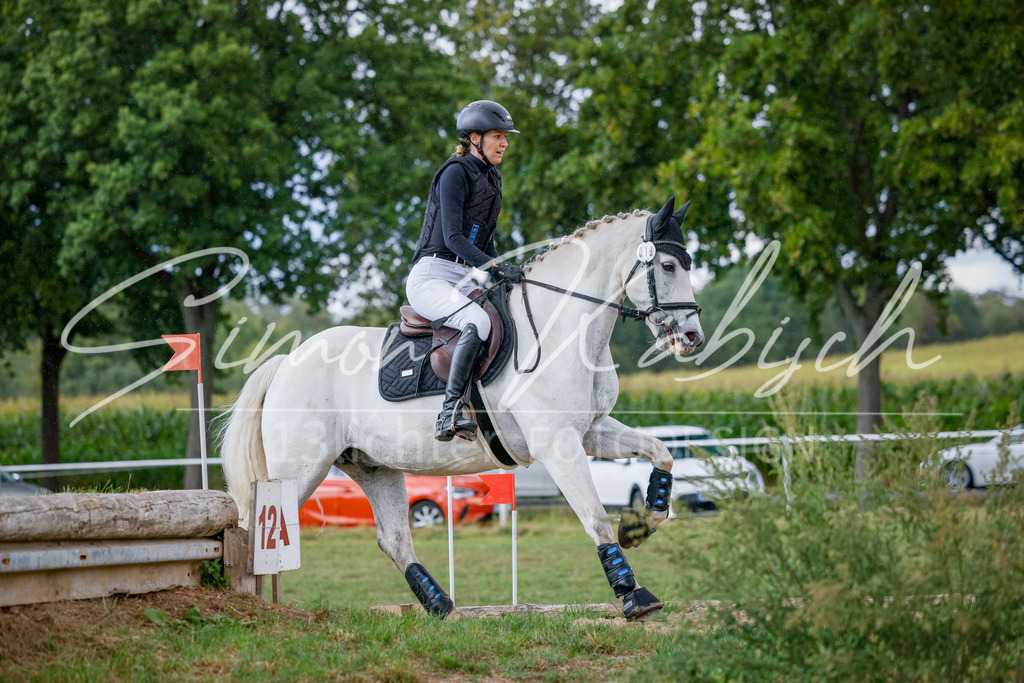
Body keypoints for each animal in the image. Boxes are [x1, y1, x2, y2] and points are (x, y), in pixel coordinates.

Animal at [219, 196, 705, 619]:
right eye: (667, 266)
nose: (692, 338)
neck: (564, 328)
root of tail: (286, 361)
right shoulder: (558, 443)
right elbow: (595, 519)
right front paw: (634, 596)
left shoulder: (590, 431)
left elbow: (661, 452)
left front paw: (642, 524)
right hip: (299, 470)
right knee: (248, 523)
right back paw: (234, 601)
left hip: (372, 466)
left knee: (394, 540)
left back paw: (440, 606)